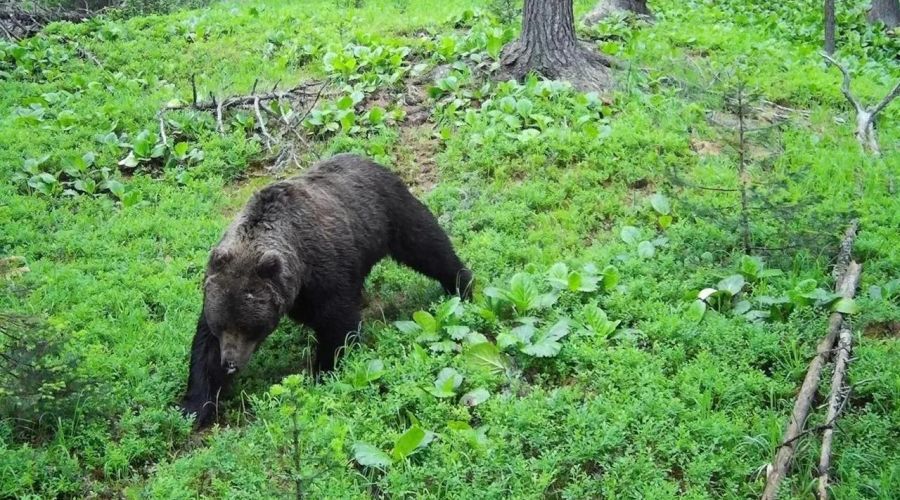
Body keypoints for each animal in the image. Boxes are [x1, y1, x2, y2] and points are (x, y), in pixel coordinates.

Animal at [178, 153, 473, 427]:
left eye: (248, 327)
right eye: (222, 326)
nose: (230, 362)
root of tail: (367, 159)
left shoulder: (324, 272)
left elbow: (337, 324)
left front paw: (323, 370)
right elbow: (204, 351)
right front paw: (194, 407)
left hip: (389, 212)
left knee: (427, 244)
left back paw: (462, 284)